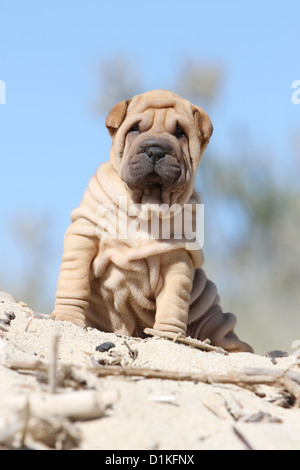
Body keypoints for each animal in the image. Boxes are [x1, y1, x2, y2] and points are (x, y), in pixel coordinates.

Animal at [52, 89, 253, 352]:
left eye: (179, 133)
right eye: (135, 129)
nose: (156, 150)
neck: (145, 204)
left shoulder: (177, 254)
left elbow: (173, 300)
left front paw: (168, 336)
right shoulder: (84, 231)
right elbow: (73, 280)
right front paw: (66, 317)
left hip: (211, 310)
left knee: (226, 335)